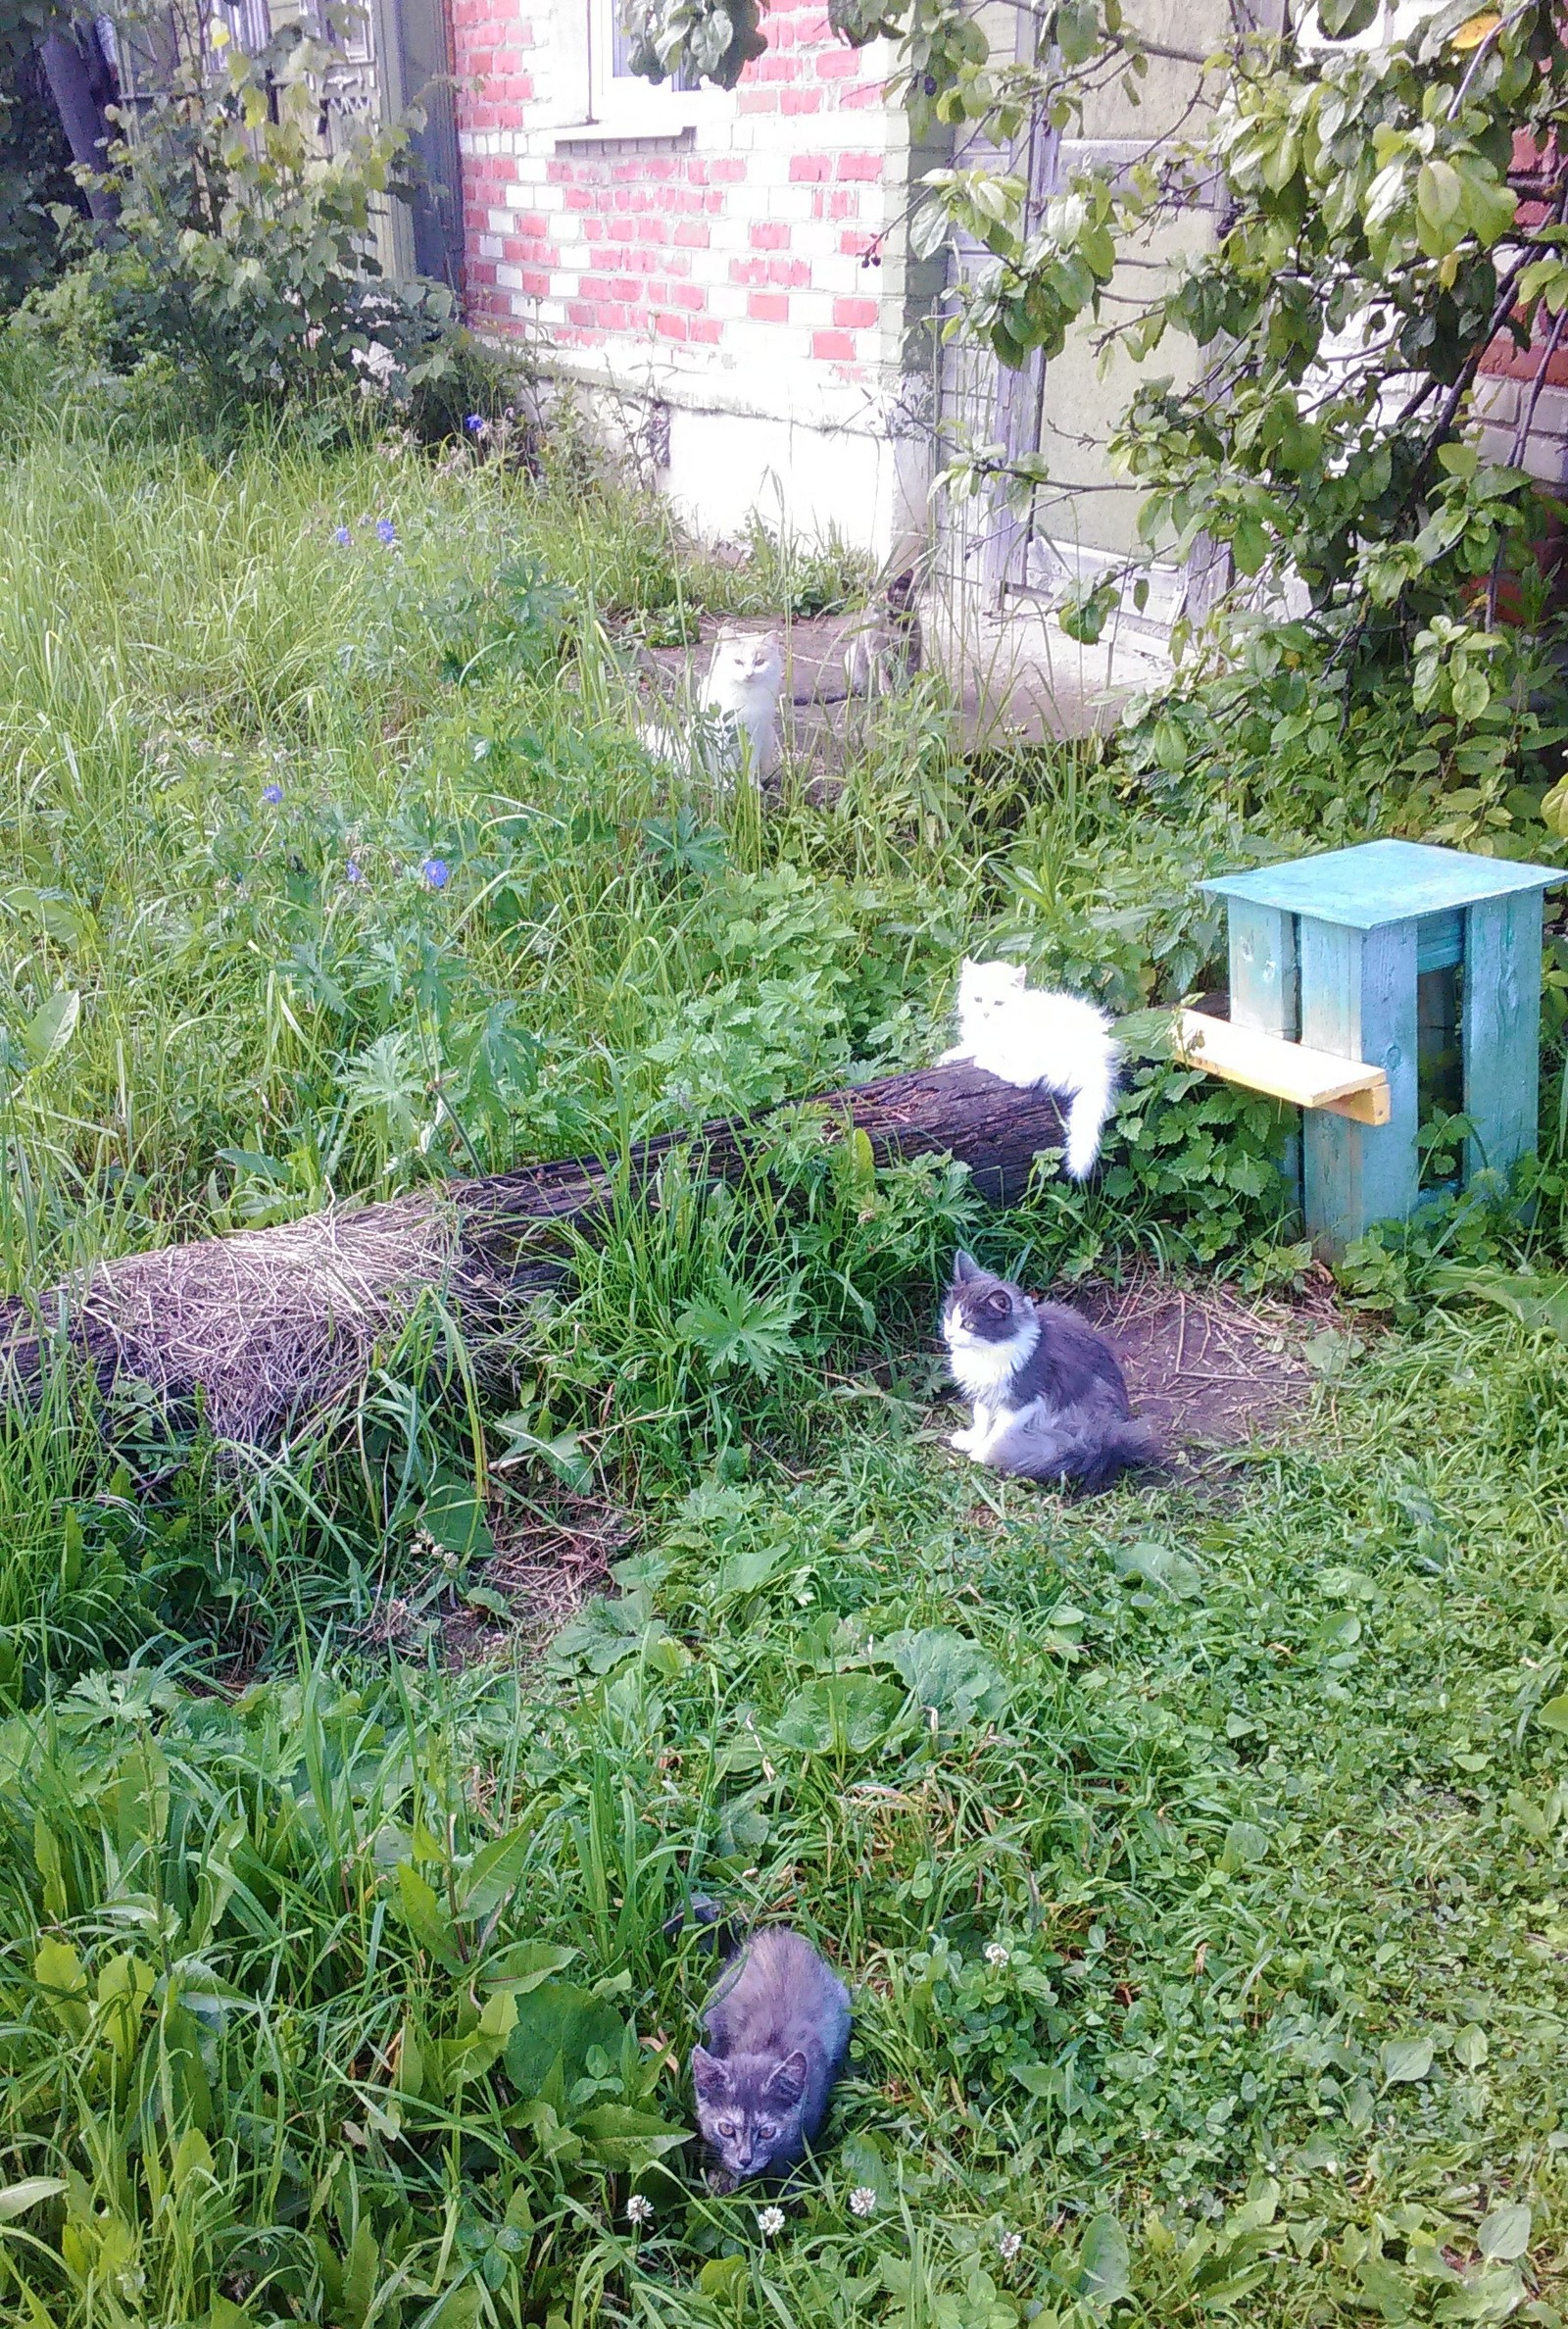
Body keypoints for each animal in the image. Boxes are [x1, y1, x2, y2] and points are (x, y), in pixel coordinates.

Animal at [633, 623, 782, 787]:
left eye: (760, 662)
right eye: (738, 662)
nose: (749, 675)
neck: (747, 699)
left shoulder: (756, 734)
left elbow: (751, 765)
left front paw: (751, 787)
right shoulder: (726, 735)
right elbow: (728, 766)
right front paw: (729, 787)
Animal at [936, 959, 1118, 1183]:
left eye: (998, 1004)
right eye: (977, 1000)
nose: (985, 1014)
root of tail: (1096, 1063)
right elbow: (968, 1046)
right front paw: (947, 1058)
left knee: (1024, 1077)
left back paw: (985, 1061)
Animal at [936, 1258, 1155, 1490]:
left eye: (969, 1324)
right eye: (949, 1316)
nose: (949, 1335)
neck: (986, 1352)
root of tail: (1110, 1436)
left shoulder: (1022, 1400)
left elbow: (998, 1432)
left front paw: (984, 1452)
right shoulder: (986, 1393)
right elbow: (982, 1420)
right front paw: (972, 1440)